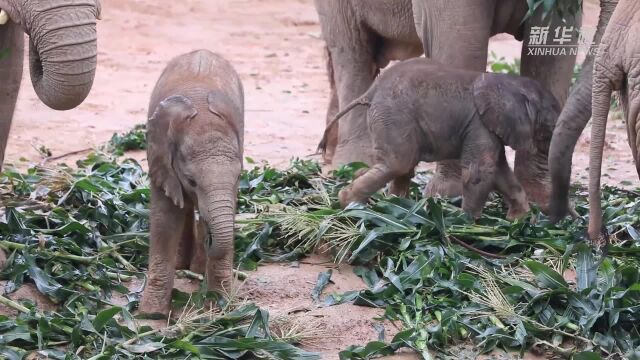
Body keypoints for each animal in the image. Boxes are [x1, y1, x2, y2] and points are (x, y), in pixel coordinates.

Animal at [141, 50, 244, 316]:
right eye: (191, 181)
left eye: (239, 177)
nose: (209, 241)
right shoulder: (160, 157)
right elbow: (165, 220)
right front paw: (152, 314)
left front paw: (219, 308)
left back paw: (195, 268)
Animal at [320, 57, 560, 219]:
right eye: (550, 125)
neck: (510, 83)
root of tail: (372, 90)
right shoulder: (479, 124)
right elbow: (480, 172)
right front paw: (468, 223)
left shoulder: (489, 128)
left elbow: (500, 171)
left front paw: (520, 220)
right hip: (393, 116)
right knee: (399, 163)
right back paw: (349, 203)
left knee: (401, 165)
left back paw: (392, 203)